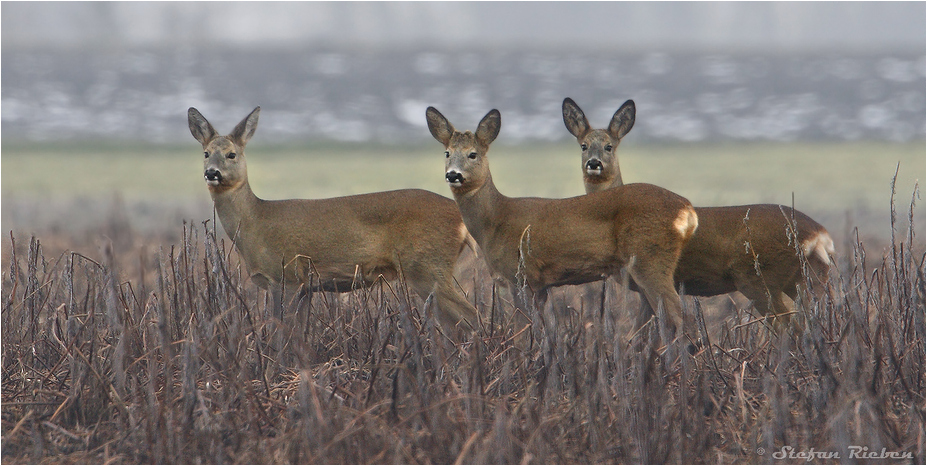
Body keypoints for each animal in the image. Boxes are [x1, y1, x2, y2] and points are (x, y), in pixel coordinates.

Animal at [187, 106, 478, 334]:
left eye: (231, 154)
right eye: (206, 153)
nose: (212, 172)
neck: (255, 222)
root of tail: (461, 220)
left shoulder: (286, 277)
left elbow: (282, 332)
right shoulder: (305, 287)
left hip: (428, 267)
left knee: (472, 316)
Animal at [426, 106, 696, 334]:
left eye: (472, 154)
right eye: (447, 153)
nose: (453, 175)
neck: (495, 221)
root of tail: (687, 209)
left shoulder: (520, 276)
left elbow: (522, 332)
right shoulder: (540, 286)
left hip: (650, 259)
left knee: (682, 318)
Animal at [560, 96, 836, 328]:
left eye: (609, 146)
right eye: (583, 145)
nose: (593, 163)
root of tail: (820, 235)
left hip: (760, 277)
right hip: (807, 279)